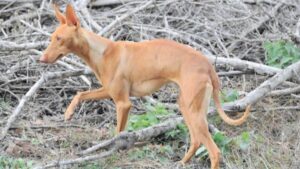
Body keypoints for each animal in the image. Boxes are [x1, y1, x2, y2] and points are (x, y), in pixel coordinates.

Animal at [40, 4, 251, 169]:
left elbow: (118, 133)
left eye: (59, 39)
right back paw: (182, 162)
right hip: (187, 107)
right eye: (51, 38)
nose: (41, 59)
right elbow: (80, 94)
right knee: (197, 140)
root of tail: (208, 64)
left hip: (193, 109)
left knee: (214, 151)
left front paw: (114, 153)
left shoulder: (123, 103)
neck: (102, 51)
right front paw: (68, 113)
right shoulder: (108, 91)